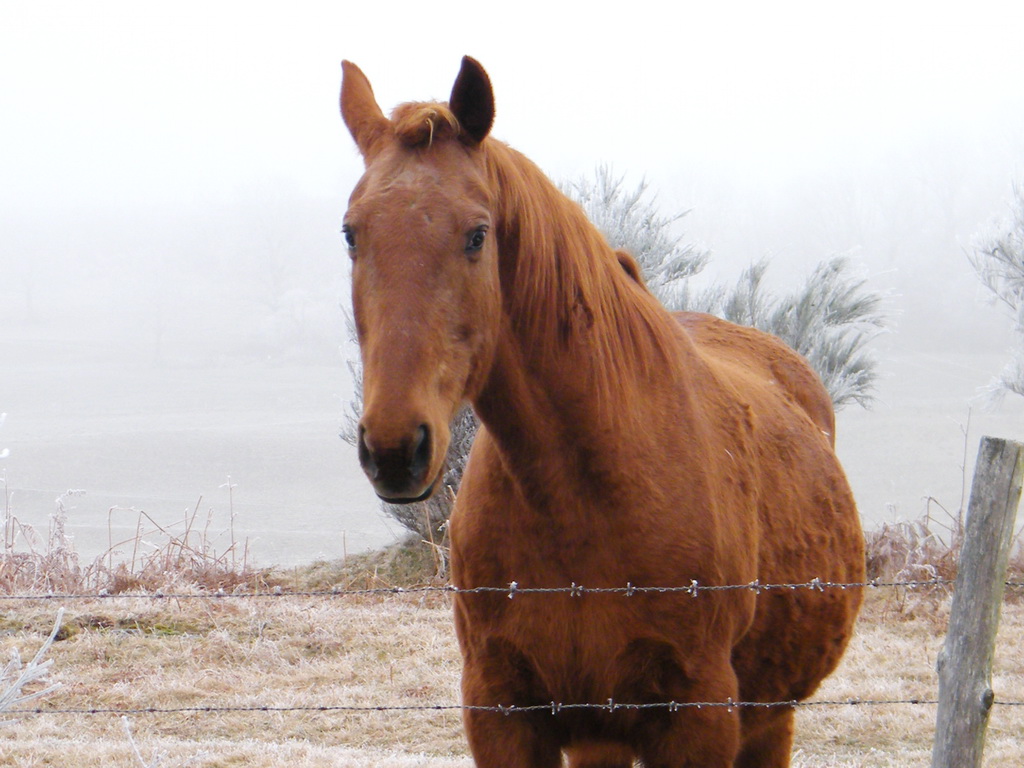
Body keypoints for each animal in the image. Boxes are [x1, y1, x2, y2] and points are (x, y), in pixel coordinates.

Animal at [342, 55, 864, 768]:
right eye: (350, 234)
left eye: (477, 235)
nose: (395, 449)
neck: (590, 494)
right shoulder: (503, 711)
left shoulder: (698, 719)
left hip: (767, 720)